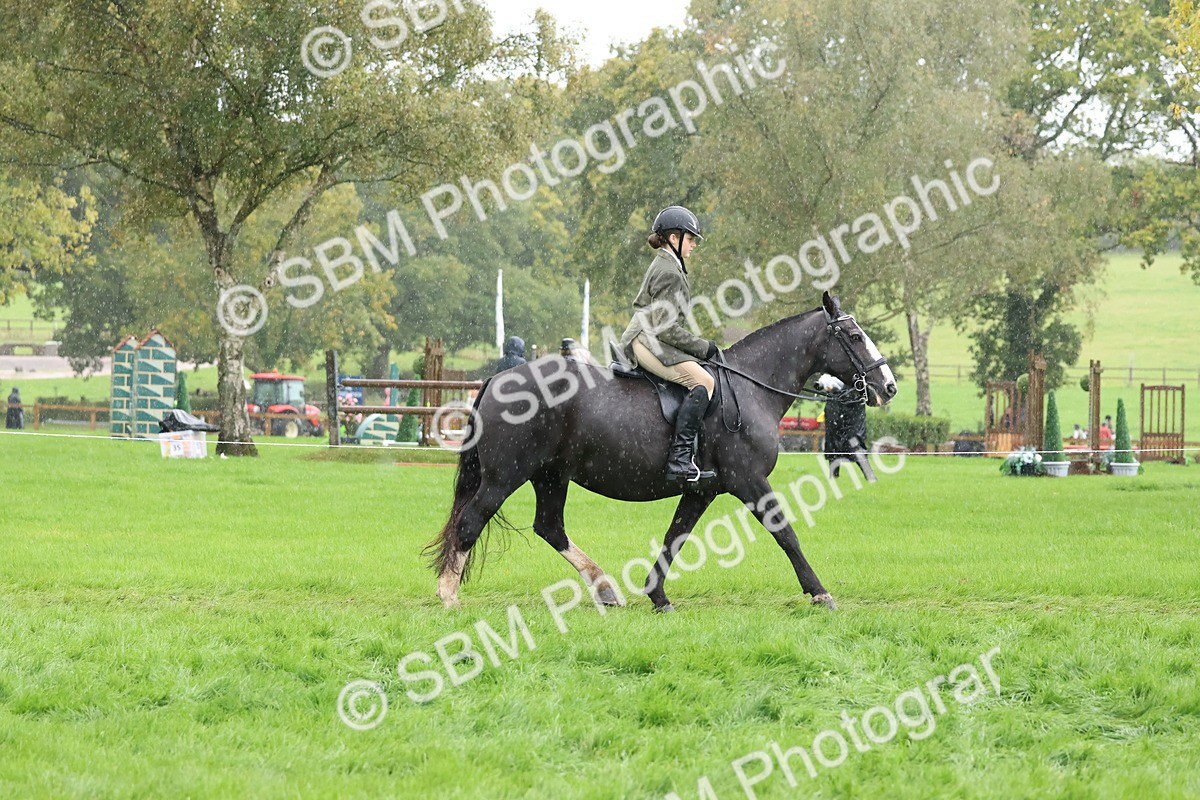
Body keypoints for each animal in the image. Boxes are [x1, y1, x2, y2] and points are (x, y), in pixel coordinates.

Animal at [426, 291, 897, 612]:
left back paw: (604, 588)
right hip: (506, 476)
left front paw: (657, 595)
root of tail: (498, 380)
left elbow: (676, 536)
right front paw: (819, 592)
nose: (888, 386)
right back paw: (448, 597)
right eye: (854, 336)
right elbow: (786, 533)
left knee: (550, 527)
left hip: (550, 475)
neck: (749, 389)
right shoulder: (749, 481)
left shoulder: (702, 489)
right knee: (471, 521)